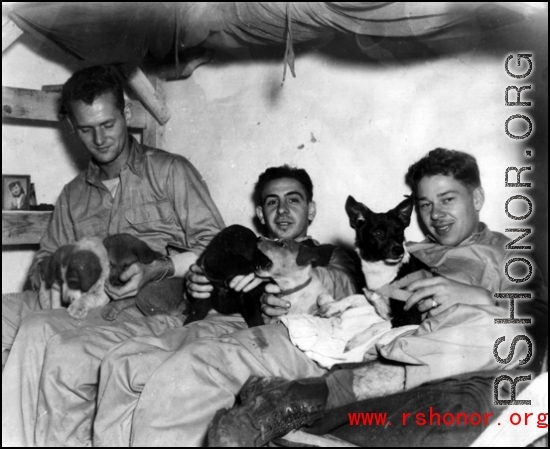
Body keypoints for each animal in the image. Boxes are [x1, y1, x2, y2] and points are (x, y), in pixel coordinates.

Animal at [324, 195, 426, 326]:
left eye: (399, 231)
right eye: (378, 232)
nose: (399, 250)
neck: (379, 267)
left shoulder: (409, 318)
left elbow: (379, 326)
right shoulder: (372, 301)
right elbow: (354, 297)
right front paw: (332, 307)